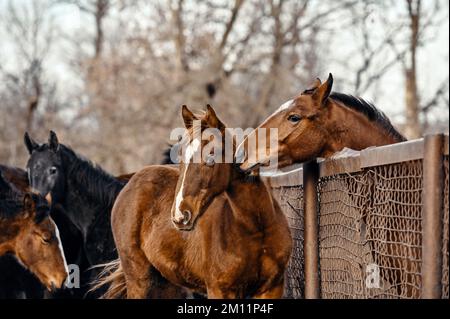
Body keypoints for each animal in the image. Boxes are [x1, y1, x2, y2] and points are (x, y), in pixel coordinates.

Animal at [97, 105, 292, 300]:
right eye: (181, 156)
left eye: (211, 157)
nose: (179, 215)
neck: (256, 228)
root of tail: (133, 181)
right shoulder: (219, 290)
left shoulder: (272, 288)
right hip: (139, 278)